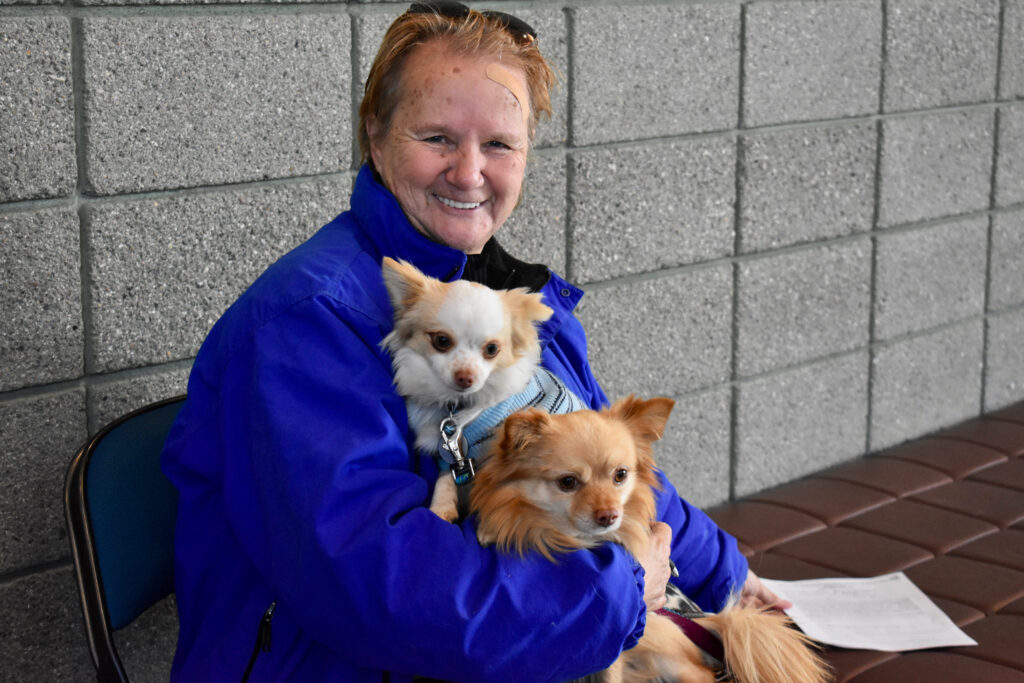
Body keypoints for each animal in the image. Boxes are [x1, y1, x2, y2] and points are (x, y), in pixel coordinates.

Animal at [471, 395, 831, 683]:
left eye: (620, 475)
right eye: (568, 482)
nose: (609, 515)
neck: (573, 539)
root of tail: (705, 620)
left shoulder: (615, 647)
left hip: (663, 645)